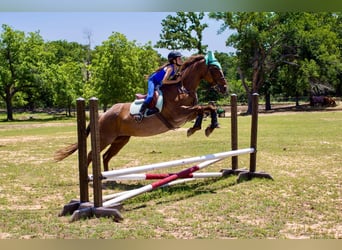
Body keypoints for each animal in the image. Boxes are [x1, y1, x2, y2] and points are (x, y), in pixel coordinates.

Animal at [54, 53, 227, 171]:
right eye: (214, 68)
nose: (225, 88)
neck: (182, 88)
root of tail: (102, 115)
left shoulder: (186, 114)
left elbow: (206, 108)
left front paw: (206, 127)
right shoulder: (178, 115)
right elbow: (202, 108)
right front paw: (201, 128)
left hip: (121, 139)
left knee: (106, 156)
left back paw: (108, 178)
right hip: (104, 138)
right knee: (92, 155)